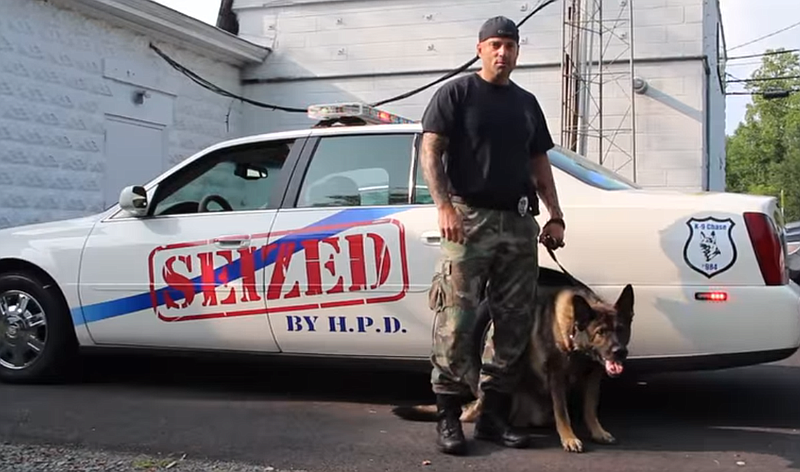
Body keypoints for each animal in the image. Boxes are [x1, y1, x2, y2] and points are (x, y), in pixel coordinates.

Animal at [390, 272, 636, 454]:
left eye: (621, 330)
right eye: (600, 333)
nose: (620, 352)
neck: (574, 337)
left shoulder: (594, 376)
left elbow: (590, 408)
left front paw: (597, 432)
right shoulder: (556, 374)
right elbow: (562, 411)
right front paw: (569, 437)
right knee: (473, 412)